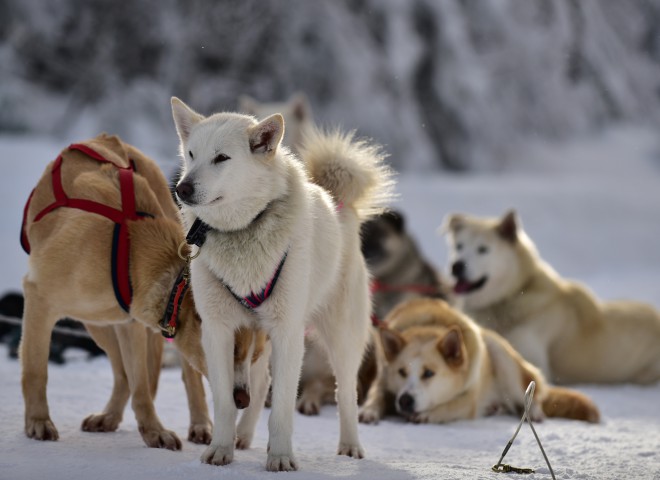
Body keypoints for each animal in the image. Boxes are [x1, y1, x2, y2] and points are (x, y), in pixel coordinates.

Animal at [20, 134, 211, 450]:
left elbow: (142, 386)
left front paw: (153, 430)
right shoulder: (39, 299)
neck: (129, 244)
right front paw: (38, 422)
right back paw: (109, 416)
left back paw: (200, 423)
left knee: (180, 375)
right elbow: (36, 371)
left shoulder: (131, 323)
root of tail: (106, 138)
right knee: (122, 375)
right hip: (96, 322)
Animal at [173, 95, 394, 470]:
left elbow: (282, 410)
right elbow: (225, 400)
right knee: (261, 385)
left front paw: (279, 457)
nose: (182, 188)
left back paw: (350, 445)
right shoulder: (217, 330)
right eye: (191, 154)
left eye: (221, 157)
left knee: (345, 394)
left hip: (341, 339)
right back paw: (243, 436)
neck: (242, 231)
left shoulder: (287, 333)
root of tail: (338, 203)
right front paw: (221, 448)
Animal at [358, 298, 600, 426]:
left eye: (428, 373)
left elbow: (450, 406)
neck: (430, 326)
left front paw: (427, 414)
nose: (405, 400)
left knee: (531, 394)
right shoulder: (382, 380)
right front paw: (369, 410)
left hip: (500, 354)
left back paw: (533, 412)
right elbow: (376, 395)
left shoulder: (469, 398)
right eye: (401, 372)